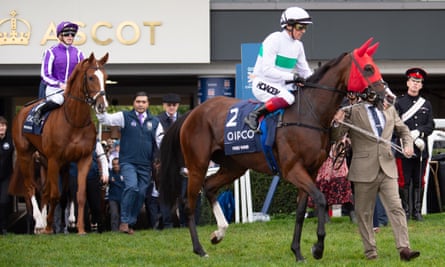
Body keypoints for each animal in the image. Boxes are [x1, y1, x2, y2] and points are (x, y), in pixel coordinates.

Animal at [9, 52, 109, 234]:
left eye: (105, 77)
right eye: (91, 77)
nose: (102, 106)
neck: (74, 122)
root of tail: (23, 112)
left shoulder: (81, 159)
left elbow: (79, 195)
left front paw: (80, 229)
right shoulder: (54, 159)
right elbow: (55, 194)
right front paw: (49, 227)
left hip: (47, 162)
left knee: (45, 191)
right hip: (25, 155)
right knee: (31, 187)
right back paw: (40, 223)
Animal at [159, 38, 388, 262]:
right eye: (368, 68)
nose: (388, 97)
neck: (308, 115)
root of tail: (192, 113)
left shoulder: (311, 170)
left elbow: (301, 211)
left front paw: (298, 251)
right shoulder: (292, 169)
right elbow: (321, 199)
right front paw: (318, 248)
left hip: (234, 167)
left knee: (209, 187)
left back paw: (219, 233)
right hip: (197, 164)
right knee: (189, 203)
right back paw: (199, 249)